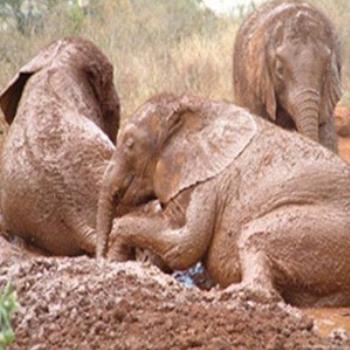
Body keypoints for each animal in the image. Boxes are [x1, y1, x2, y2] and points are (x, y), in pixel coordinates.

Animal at [96, 95, 350, 306]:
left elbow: (185, 245)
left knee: (253, 235)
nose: (100, 260)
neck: (198, 105)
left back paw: (231, 294)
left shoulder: (208, 184)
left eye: (130, 145)